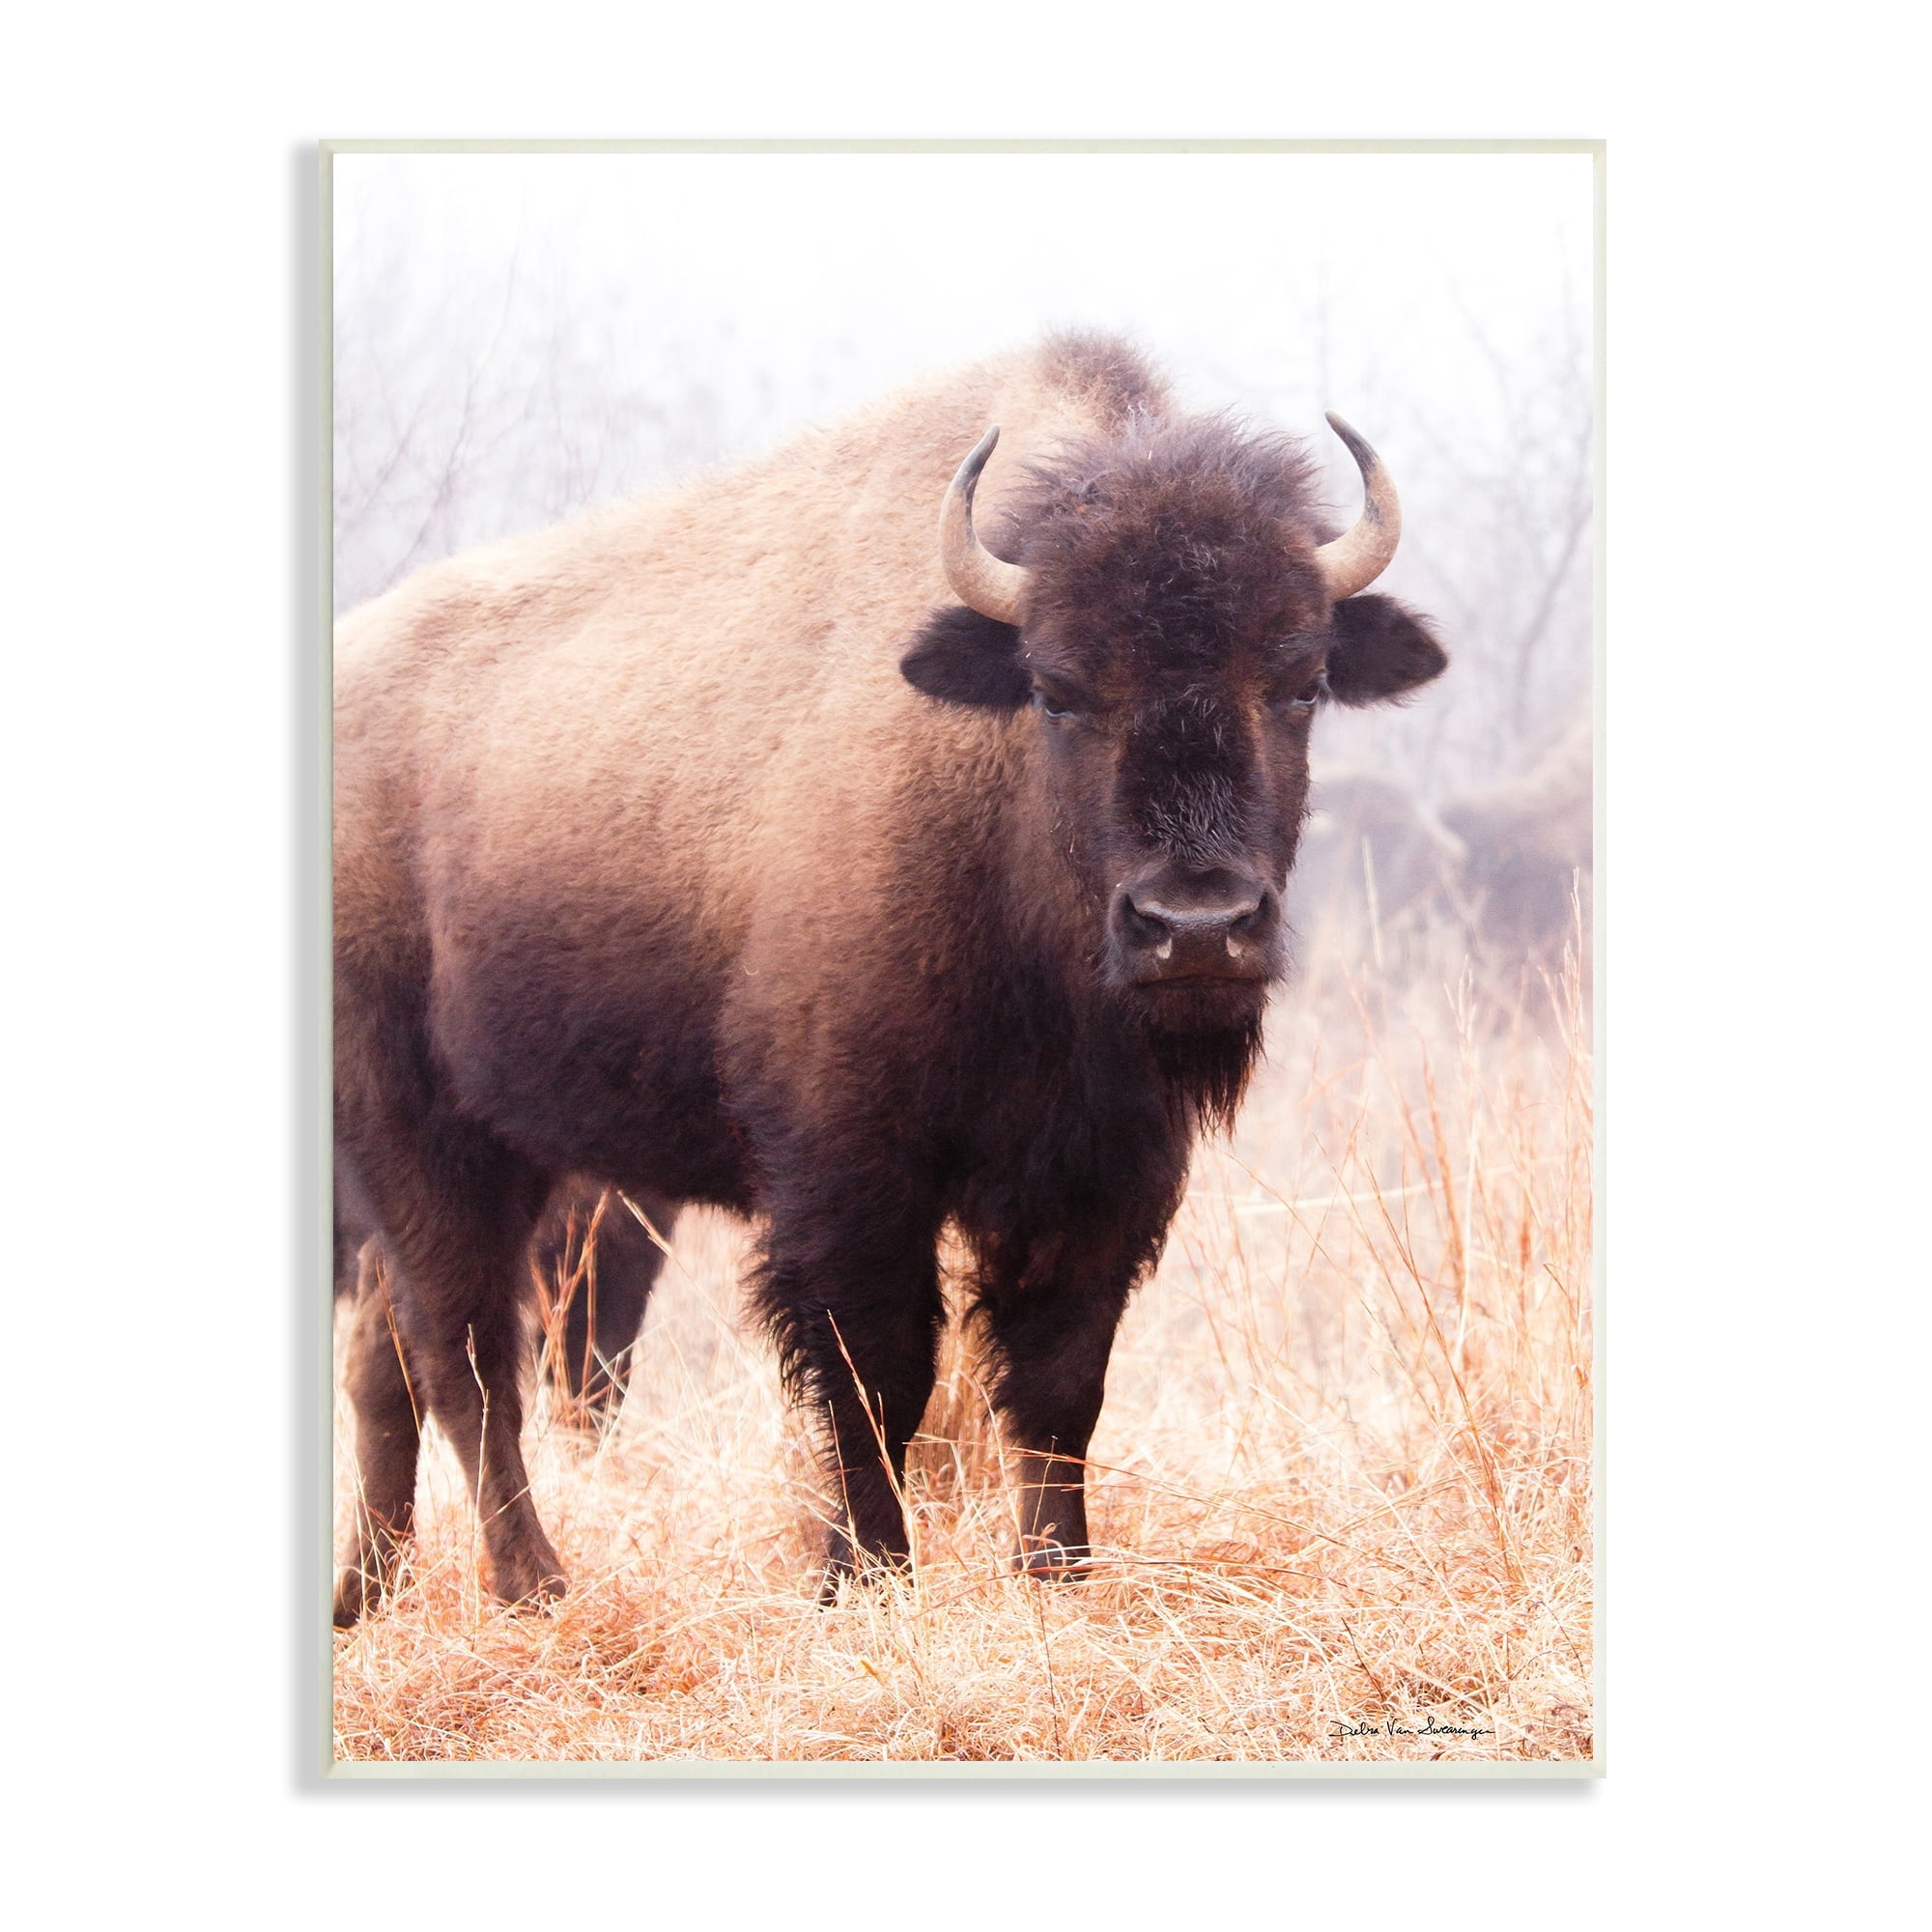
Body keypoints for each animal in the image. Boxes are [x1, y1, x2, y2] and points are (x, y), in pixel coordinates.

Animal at [331, 332, 1447, 1626]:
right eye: (1058, 687)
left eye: (1300, 680)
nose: (1196, 924)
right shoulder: (849, 1169)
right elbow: (876, 1373)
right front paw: (862, 1574)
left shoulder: (1103, 1173)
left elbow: (1059, 1381)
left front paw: (1055, 1573)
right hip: (421, 1134)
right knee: (462, 1356)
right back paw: (533, 1585)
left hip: (501, 1150)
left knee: (388, 1357)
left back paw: (365, 1593)